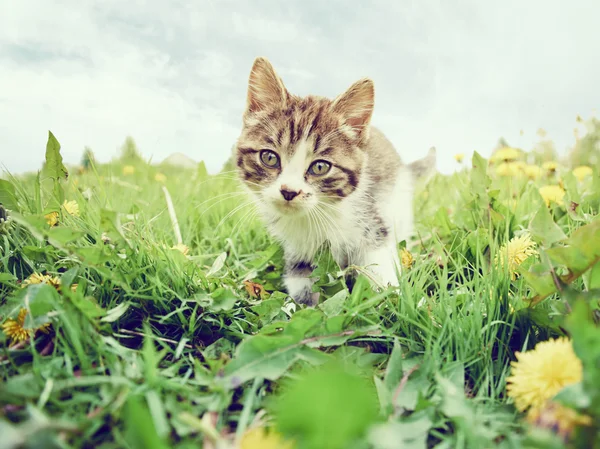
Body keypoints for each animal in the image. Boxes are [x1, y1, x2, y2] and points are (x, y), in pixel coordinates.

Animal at [234, 57, 436, 304]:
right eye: (269, 157)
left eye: (320, 167)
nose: (289, 191)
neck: (314, 218)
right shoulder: (296, 248)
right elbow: (300, 281)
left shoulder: (370, 222)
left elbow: (380, 266)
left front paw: (394, 301)